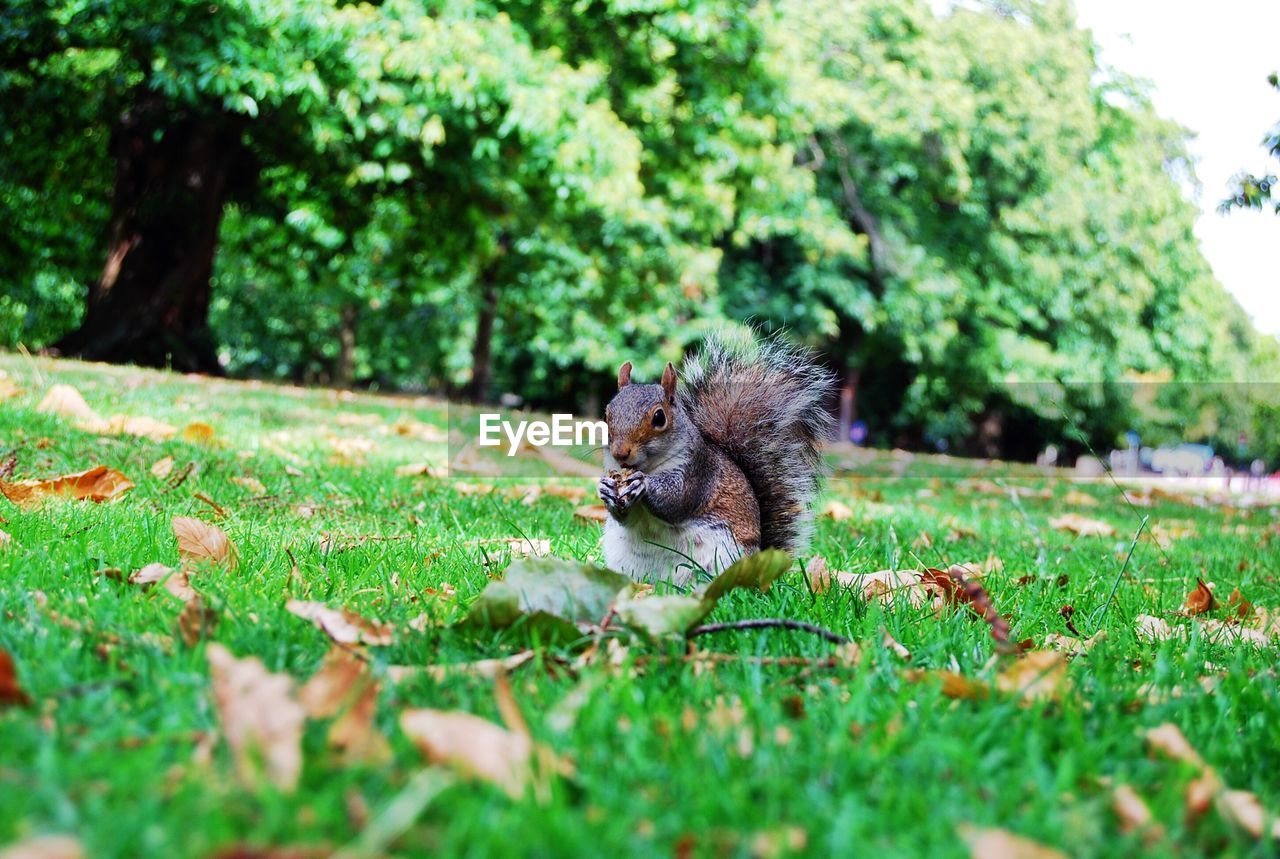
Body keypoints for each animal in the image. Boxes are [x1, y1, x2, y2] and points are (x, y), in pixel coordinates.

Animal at [596, 332, 834, 588]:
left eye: (659, 417)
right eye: (607, 414)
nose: (620, 453)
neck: (648, 465)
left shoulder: (698, 471)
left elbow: (677, 500)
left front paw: (643, 484)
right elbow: (624, 517)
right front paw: (606, 488)